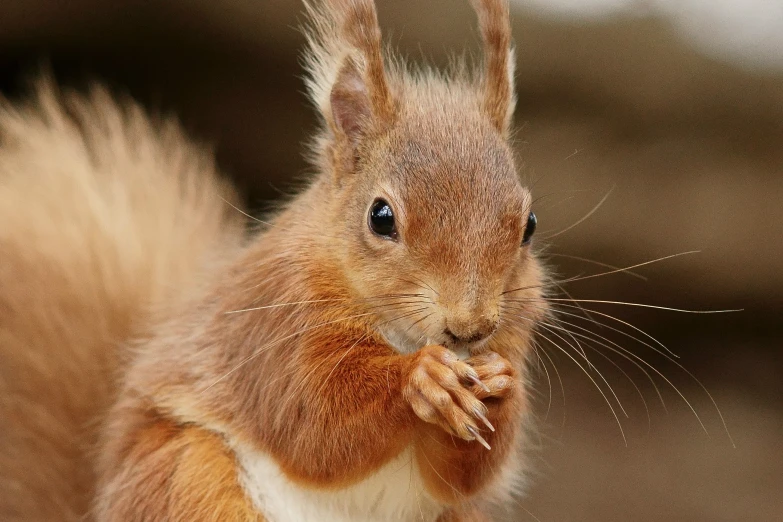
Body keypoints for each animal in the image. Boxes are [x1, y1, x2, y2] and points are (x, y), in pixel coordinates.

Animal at [0, 2, 548, 516]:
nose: (471, 327)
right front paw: (421, 377)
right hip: (190, 477)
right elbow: (312, 418)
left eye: (530, 224)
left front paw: (501, 389)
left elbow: (461, 473)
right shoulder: (274, 325)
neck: (401, 334)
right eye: (381, 217)